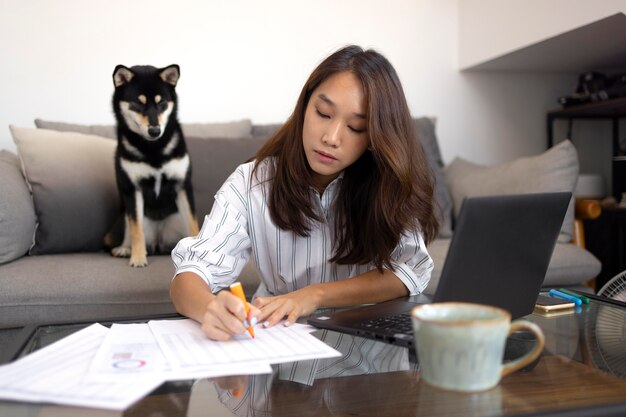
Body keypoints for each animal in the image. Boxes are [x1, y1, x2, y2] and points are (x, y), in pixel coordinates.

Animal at [105, 64, 197, 266]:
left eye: (162, 102)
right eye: (138, 103)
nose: (155, 131)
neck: (153, 149)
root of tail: (158, 241)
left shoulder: (182, 185)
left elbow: (195, 226)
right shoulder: (132, 189)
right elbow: (136, 230)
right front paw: (138, 258)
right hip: (125, 214)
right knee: (130, 228)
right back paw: (125, 248)